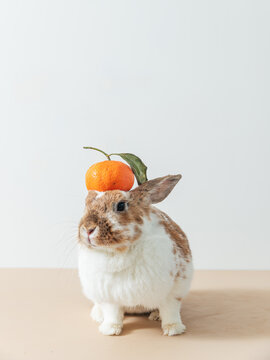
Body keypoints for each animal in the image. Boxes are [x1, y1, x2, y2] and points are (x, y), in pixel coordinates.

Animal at [77, 174, 193, 334]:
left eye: (121, 205)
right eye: (86, 203)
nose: (88, 228)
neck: (119, 251)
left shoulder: (174, 291)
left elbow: (170, 310)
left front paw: (173, 329)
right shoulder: (108, 296)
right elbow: (112, 313)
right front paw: (110, 330)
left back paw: (156, 316)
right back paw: (98, 315)